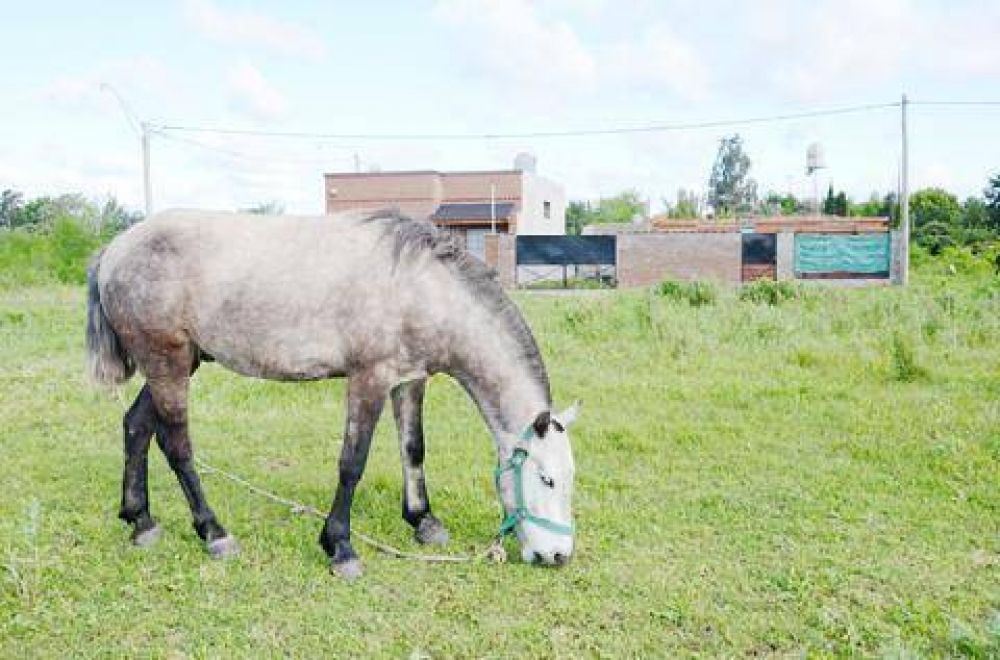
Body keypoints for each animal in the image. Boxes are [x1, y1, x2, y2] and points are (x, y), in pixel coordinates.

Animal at [86, 208, 578, 578]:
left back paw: (140, 520)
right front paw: (340, 546)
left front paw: (422, 520)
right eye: (547, 479)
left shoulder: (409, 379)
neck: (421, 287)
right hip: (167, 364)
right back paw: (214, 533)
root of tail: (115, 249)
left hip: (179, 363)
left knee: (136, 427)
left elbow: (413, 449)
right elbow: (352, 463)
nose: (557, 556)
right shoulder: (369, 380)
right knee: (177, 445)